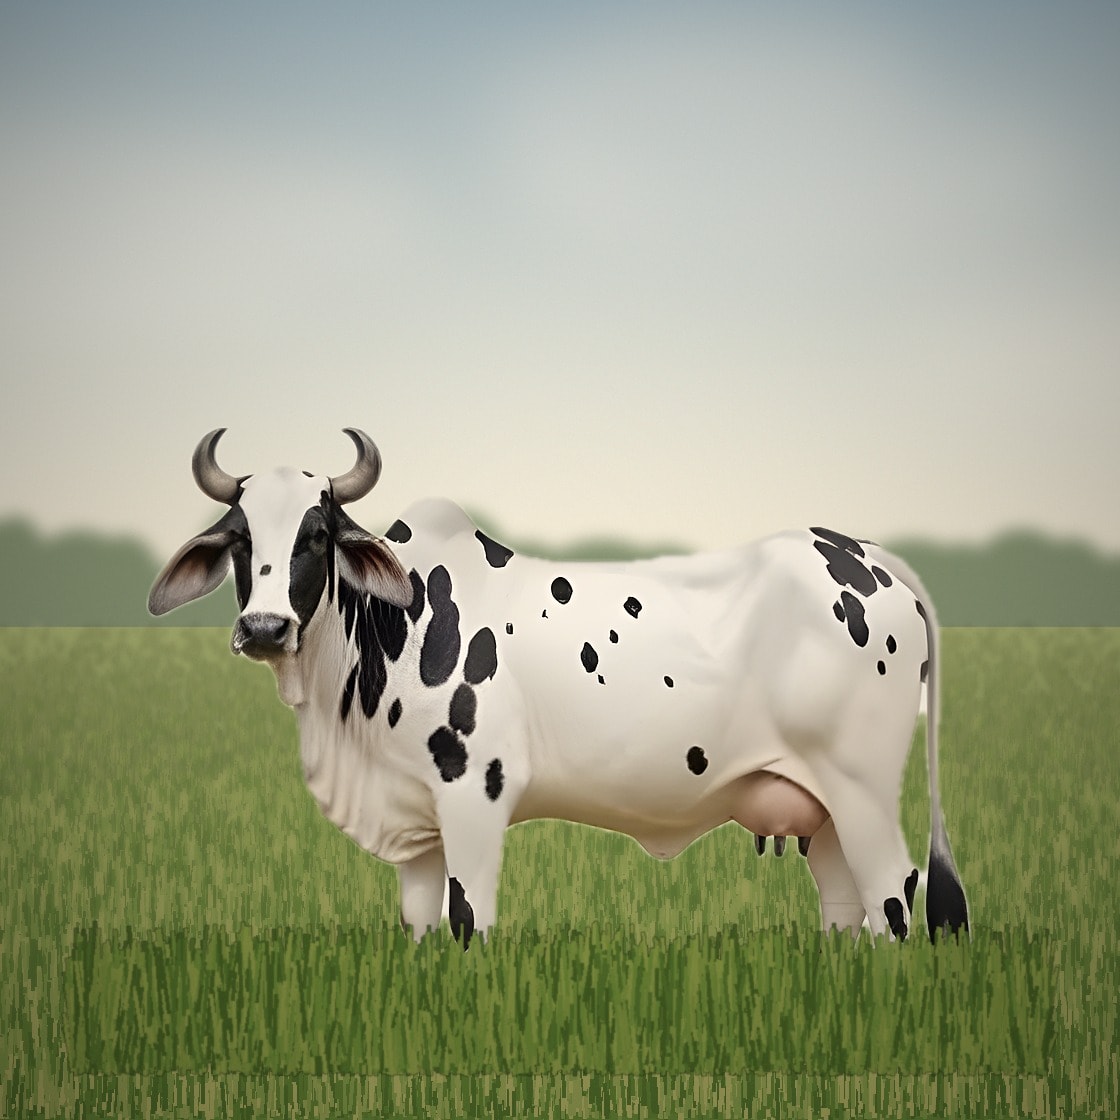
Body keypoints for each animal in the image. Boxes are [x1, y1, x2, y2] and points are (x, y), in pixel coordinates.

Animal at [149, 428, 969, 947]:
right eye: (240, 538)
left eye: (317, 534)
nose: (264, 627)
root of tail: (867, 552)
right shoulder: (415, 821)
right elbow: (419, 927)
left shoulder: (475, 792)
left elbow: (467, 921)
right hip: (818, 807)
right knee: (845, 910)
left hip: (862, 789)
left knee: (894, 897)